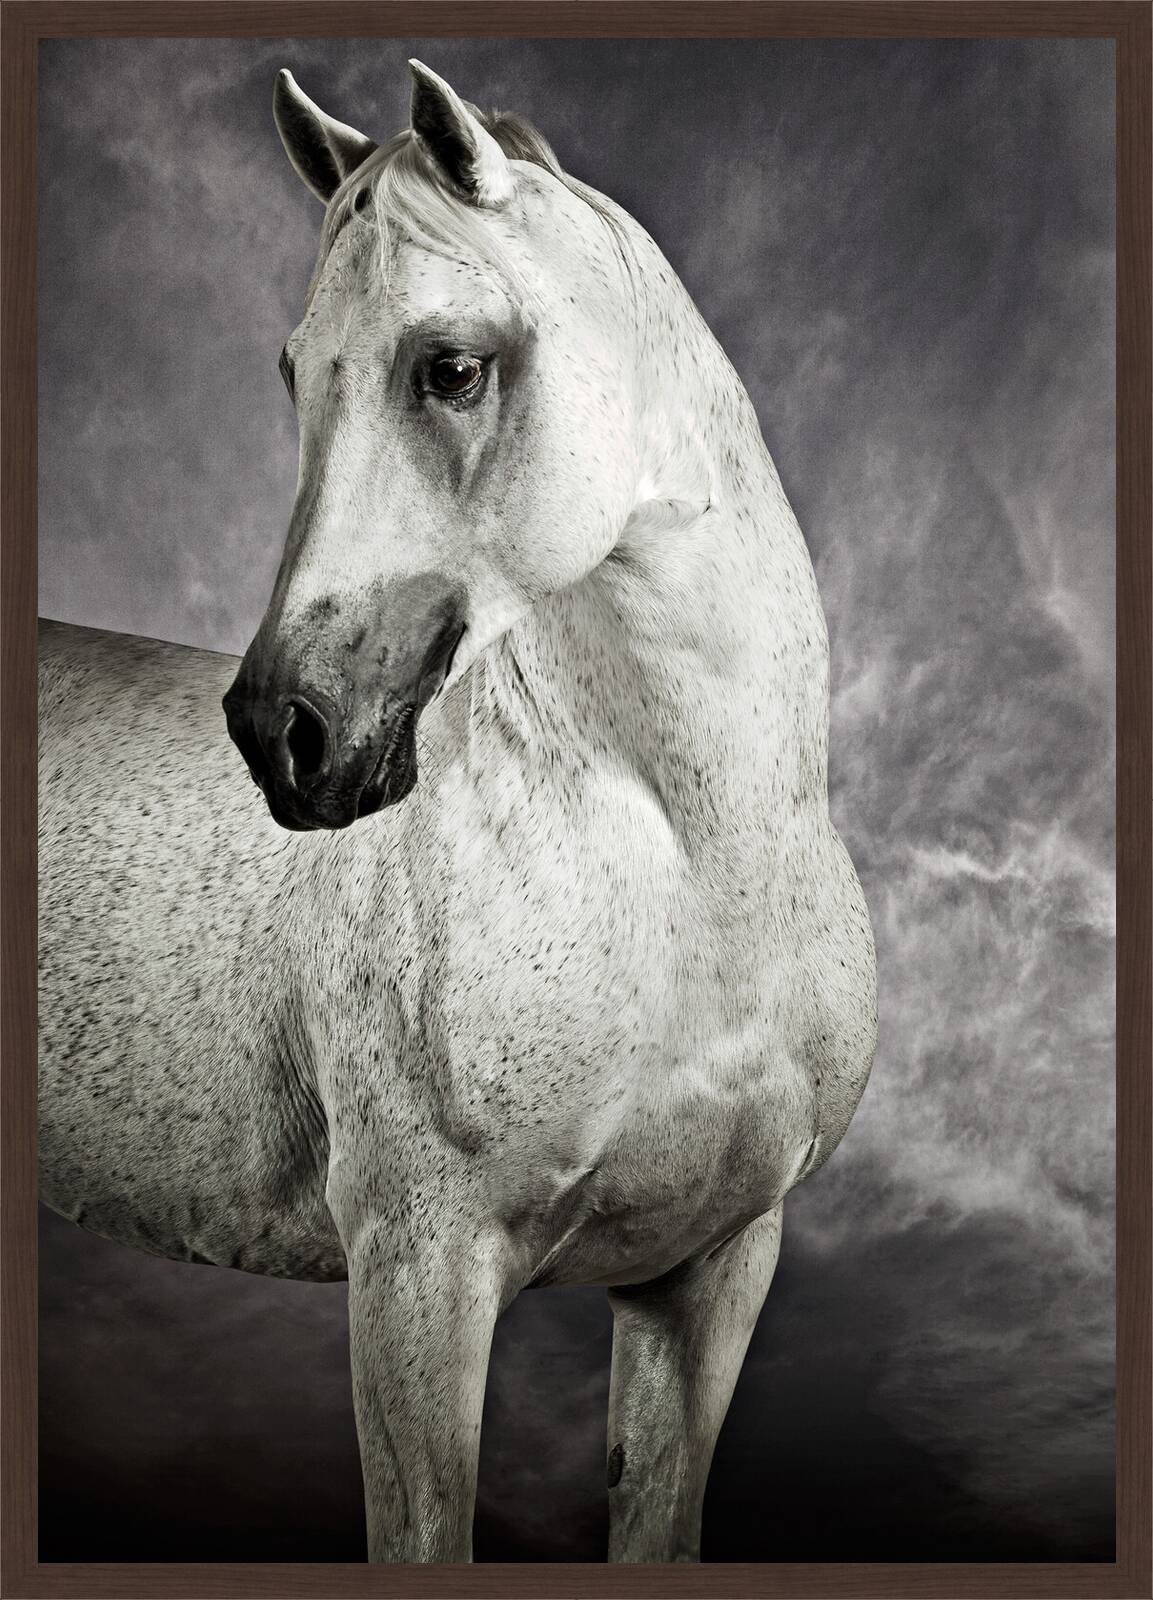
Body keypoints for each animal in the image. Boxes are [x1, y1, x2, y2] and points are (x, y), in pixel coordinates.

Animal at [37, 60, 877, 1564]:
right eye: (294, 372)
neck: (692, 867)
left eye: (451, 367)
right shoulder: (419, 1273)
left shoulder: (709, 1272)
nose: (286, 736)